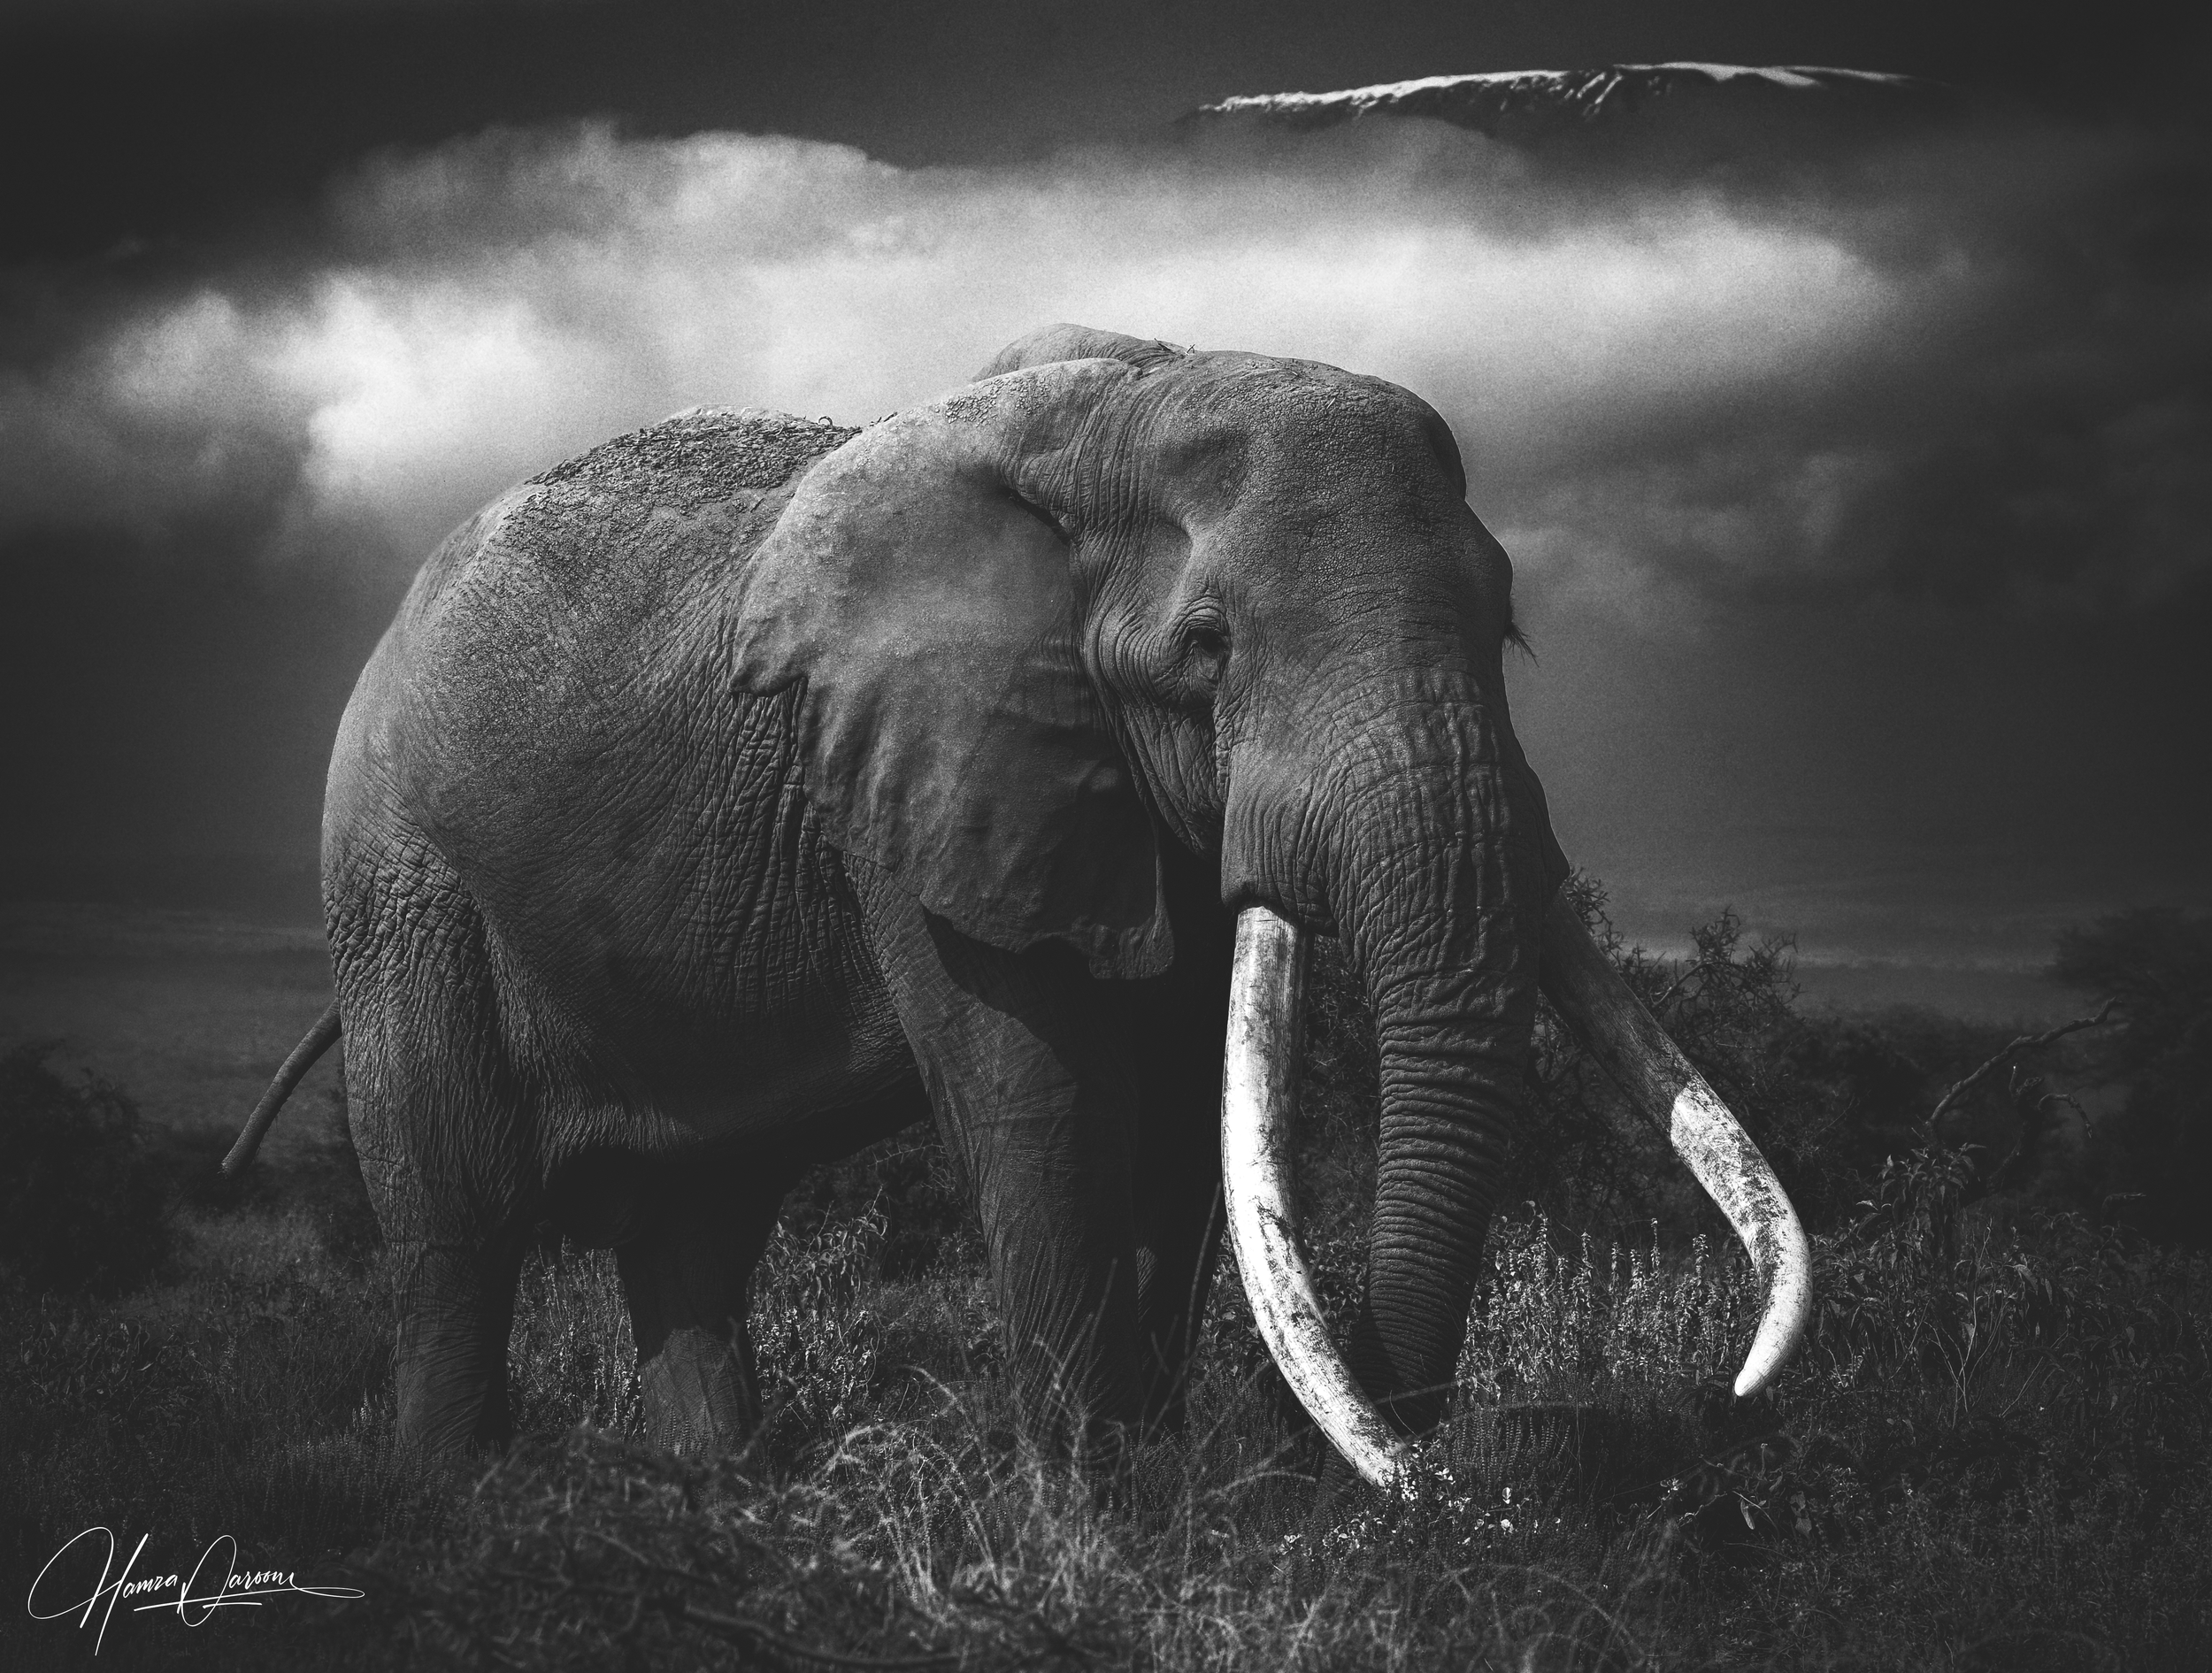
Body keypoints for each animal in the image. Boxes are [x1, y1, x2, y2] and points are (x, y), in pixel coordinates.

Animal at [226, 324, 1810, 1486]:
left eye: (1509, 624)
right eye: (1208, 646)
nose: (1696, 1408)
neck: (1124, 410)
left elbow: (1176, 1119)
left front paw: (1152, 1489)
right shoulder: (914, 780)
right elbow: (1041, 1101)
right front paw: (1093, 1505)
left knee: (700, 1214)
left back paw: (710, 1487)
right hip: (404, 887)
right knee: (459, 1211)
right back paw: (458, 1499)